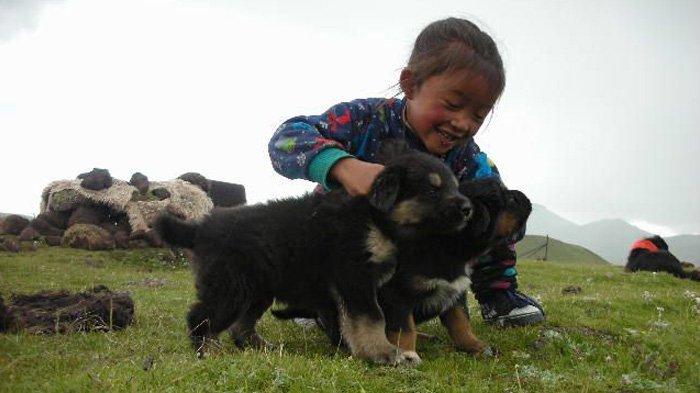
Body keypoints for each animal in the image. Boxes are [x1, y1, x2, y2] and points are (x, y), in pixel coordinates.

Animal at [156, 148, 474, 364]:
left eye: (453, 187)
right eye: (432, 190)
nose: (468, 208)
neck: (375, 217)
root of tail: (200, 229)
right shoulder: (354, 275)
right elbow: (372, 317)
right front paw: (383, 353)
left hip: (257, 289)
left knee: (240, 326)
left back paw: (262, 348)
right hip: (231, 287)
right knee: (200, 317)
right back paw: (207, 352)